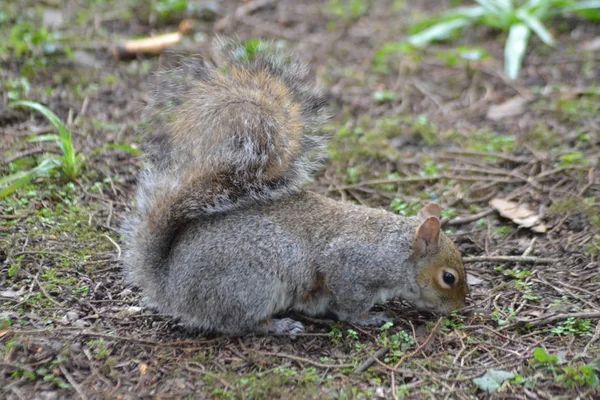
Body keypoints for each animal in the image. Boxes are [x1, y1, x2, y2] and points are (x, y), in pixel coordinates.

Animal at [122, 39, 468, 336]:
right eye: (448, 278)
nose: (458, 308)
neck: (397, 252)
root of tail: (170, 286)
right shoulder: (350, 266)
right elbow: (348, 305)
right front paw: (370, 317)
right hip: (252, 284)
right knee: (237, 323)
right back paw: (279, 325)